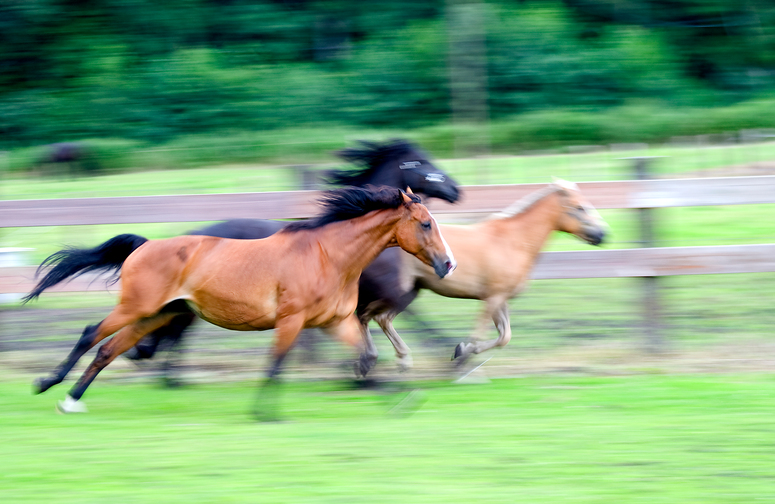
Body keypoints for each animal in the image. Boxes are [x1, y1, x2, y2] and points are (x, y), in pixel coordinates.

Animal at [24, 186, 458, 414]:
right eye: (425, 224)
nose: (448, 264)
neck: (327, 254)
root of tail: (145, 245)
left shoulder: (334, 322)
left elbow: (367, 357)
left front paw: (399, 398)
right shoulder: (292, 320)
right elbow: (275, 365)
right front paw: (264, 414)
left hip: (158, 315)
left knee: (109, 349)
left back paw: (72, 400)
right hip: (138, 307)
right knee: (91, 334)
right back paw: (47, 384)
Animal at [127, 138, 460, 378]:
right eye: (420, 161)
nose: (456, 189)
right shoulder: (377, 292)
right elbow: (392, 317)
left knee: (174, 329)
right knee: (175, 330)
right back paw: (161, 369)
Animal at [360, 179, 608, 368]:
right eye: (579, 208)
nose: (603, 234)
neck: (514, 242)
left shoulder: (502, 299)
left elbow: (504, 336)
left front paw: (462, 350)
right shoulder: (492, 298)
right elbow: (485, 332)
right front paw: (462, 356)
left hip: (411, 290)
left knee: (367, 316)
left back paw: (371, 362)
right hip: (399, 292)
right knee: (377, 318)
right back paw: (396, 361)